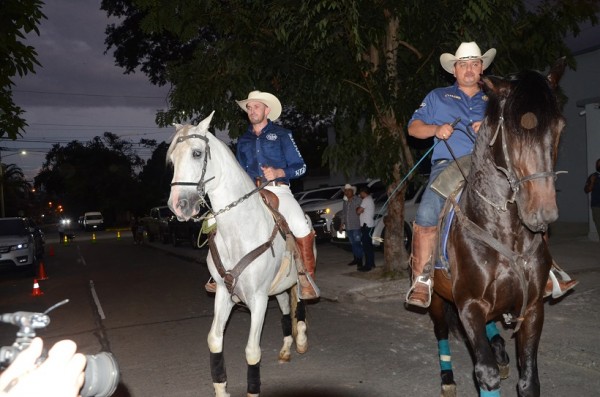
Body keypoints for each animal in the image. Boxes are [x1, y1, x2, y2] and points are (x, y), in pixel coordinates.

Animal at [168, 111, 310, 396]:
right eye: (172, 159)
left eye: (197, 153)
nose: (178, 205)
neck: (240, 229)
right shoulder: (224, 292)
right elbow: (214, 340)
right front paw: (221, 387)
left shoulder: (258, 299)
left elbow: (252, 351)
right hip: (278, 288)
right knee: (286, 311)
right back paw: (286, 348)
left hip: (296, 279)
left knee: (300, 304)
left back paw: (300, 339)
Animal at [428, 59, 564, 396]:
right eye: (512, 132)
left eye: (559, 127)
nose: (543, 212)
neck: (507, 233)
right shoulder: (469, 306)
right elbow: (485, 372)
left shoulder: (532, 308)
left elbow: (528, 381)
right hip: (436, 299)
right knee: (441, 331)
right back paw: (447, 377)